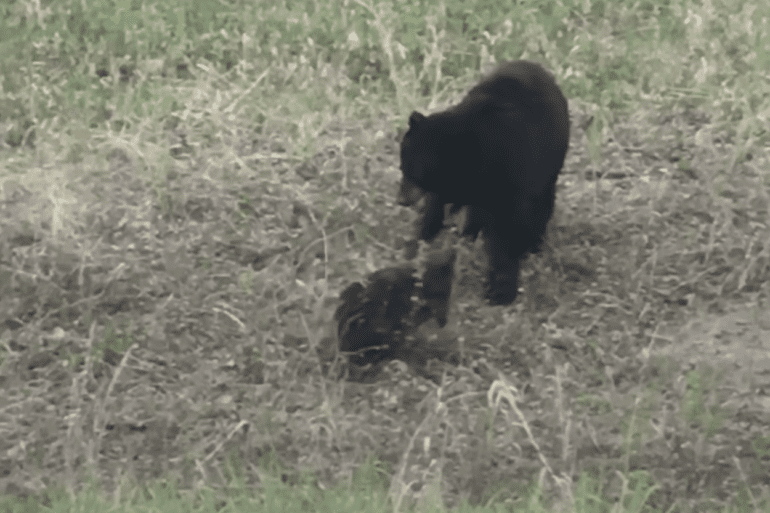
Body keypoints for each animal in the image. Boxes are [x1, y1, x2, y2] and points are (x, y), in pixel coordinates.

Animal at [397, 60, 569, 305]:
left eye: (414, 171)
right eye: (402, 166)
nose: (401, 200)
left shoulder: (514, 180)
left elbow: (508, 232)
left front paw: (501, 289)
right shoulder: (450, 186)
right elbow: (433, 212)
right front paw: (413, 250)